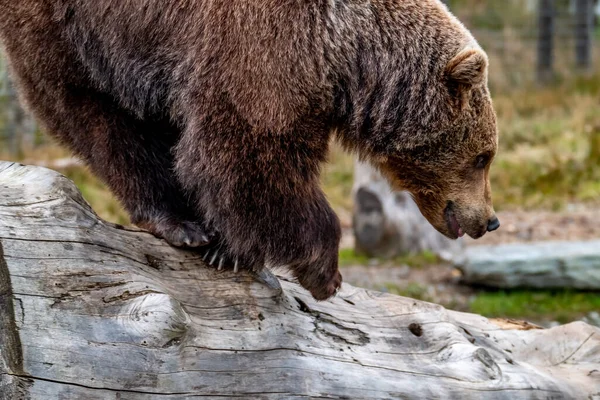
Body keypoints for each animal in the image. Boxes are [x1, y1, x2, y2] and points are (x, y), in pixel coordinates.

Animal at [0, 0, 496, 300]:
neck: (351, 56)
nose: (488, 220)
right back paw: (180, 223)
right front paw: (324, 271)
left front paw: (231, 248)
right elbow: (251, 153)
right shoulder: (263, 47)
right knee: (101, 115)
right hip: (72, 28)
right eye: (483, 157)